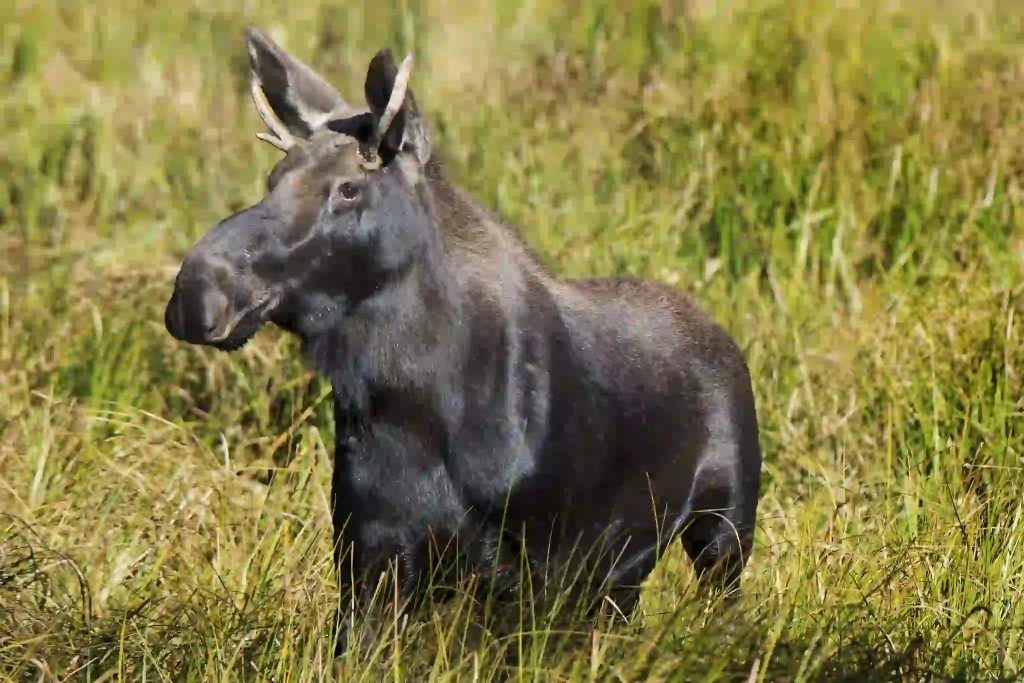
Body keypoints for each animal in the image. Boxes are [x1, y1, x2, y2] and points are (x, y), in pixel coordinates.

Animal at [164, 28, 762, 650]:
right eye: (273, 180)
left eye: (348, 189)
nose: (197, 291)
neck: (408, 405)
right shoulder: (368, 552)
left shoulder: (536, 564)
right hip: (628, 575)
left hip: (726, 527)